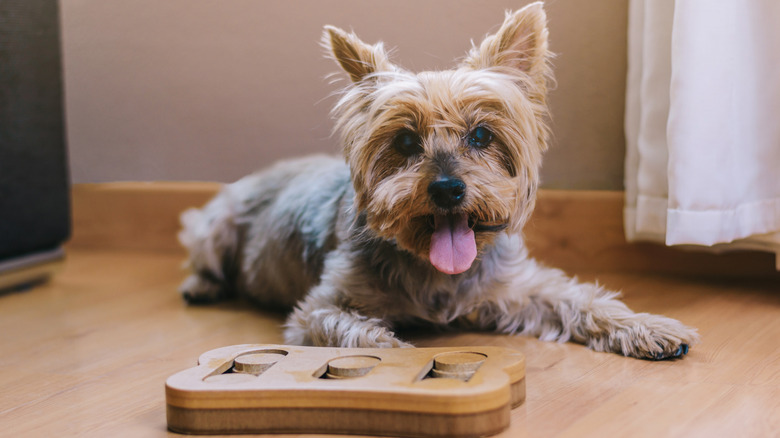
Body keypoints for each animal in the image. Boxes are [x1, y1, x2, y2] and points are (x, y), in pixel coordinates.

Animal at [180, 2, 696, 360]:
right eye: (406, 141)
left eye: (482, 134)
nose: (448, 189)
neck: (436, 270)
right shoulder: (318, 308)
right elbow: (348, 329)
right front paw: (396, 356)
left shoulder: (517, 288)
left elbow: (581, 298)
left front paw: (649, 327)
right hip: (215, 225)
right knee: (203, 251)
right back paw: (202, 286)